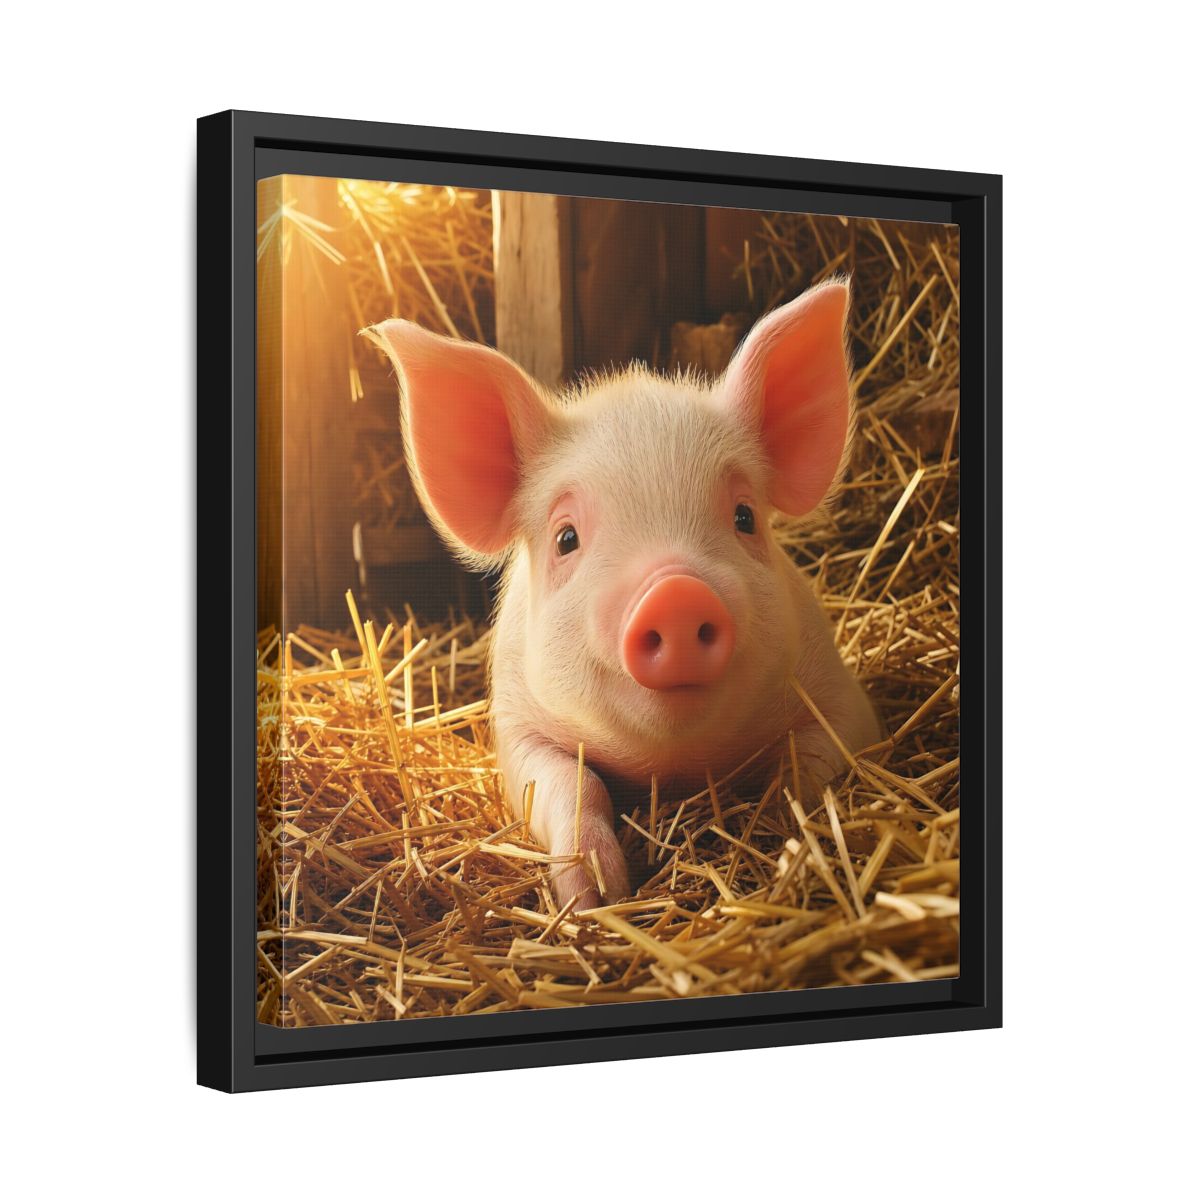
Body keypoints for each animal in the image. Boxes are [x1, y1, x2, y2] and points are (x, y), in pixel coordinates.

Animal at [366, 279, 879, 910]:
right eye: (566, 538)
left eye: (745, 516)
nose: (675, 593)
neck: (673, 766)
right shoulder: (515, 725)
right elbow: (572, 783)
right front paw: (595, 898)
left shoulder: (840, 696)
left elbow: (808, 763)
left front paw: (784, 834)